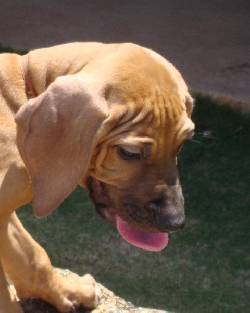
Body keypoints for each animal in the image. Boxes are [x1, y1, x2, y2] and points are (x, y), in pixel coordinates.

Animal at [0, 42, 195, 312]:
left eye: (182, 145)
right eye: (129, 153)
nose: (175, 222)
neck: (22, 87)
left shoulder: (5, 214)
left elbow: (31, 256)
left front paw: (69, 292)